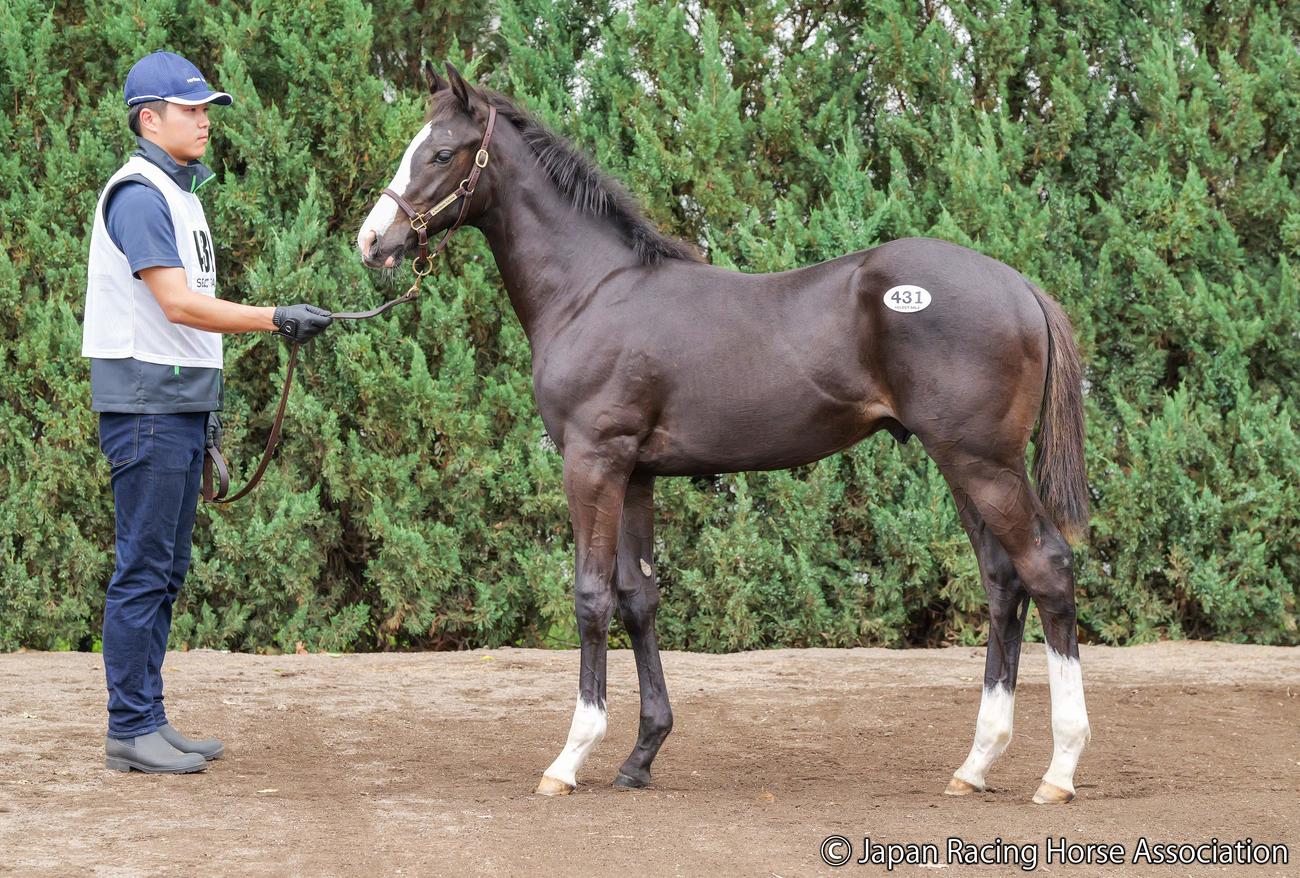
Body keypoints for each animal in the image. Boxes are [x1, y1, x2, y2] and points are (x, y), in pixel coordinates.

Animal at [356, 62, 1092, 805]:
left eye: (441, 153)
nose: (371, 242)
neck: (592, 292)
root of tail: (1020, 287)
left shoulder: (592, 462)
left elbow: (592, 597)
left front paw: (569, 758)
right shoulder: (637, 473)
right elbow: (639, 599)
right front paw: (641, 756)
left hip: (983, 462)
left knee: (1047, 568)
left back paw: (1059, 770)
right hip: (962, 463)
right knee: (1002, 581)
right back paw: (976, 763)